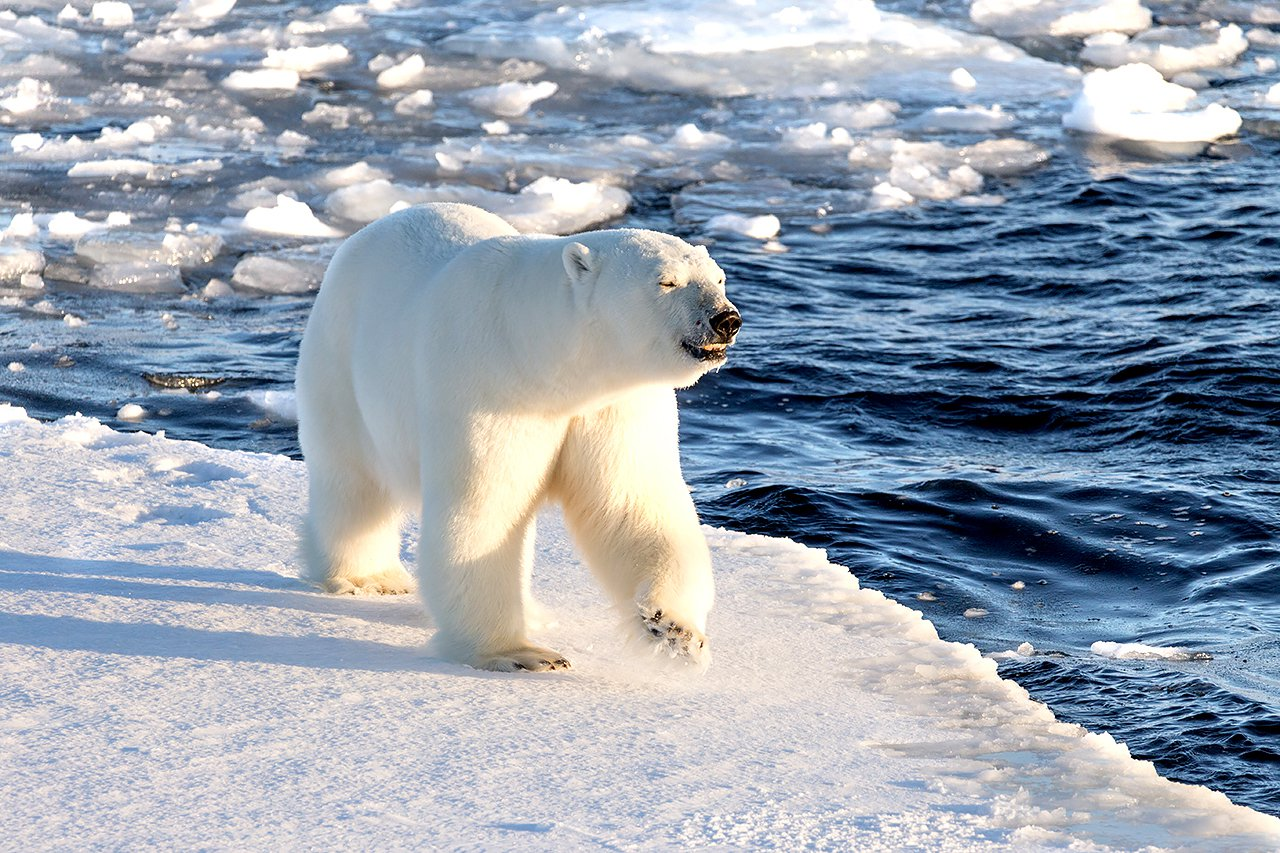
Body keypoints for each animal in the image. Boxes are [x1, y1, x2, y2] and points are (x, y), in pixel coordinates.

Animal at [295, 201, 742, 671]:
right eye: (667, 281)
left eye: (718, 278)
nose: (726, 320)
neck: (543, 358)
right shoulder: (491, 387)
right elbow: (486, 508)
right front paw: (519, 654)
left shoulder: (613, 406)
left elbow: (631, 505)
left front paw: (675, 630)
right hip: (339, 364)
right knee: (353, 482)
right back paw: (369, 577)